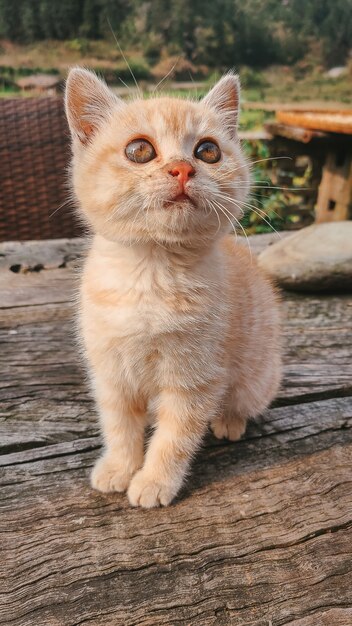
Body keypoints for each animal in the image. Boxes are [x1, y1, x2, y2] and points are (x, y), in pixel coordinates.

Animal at [64, 68, 282, 508]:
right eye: (139, 150)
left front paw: (154, 481)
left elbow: (175, 437)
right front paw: (119, 467)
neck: (152, 273)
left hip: (255, 379)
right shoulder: (109, 370)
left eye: (208, 151)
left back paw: (229, 421)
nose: (182, 168)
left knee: (243, 402)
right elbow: (118, 424)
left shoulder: (196, 377)